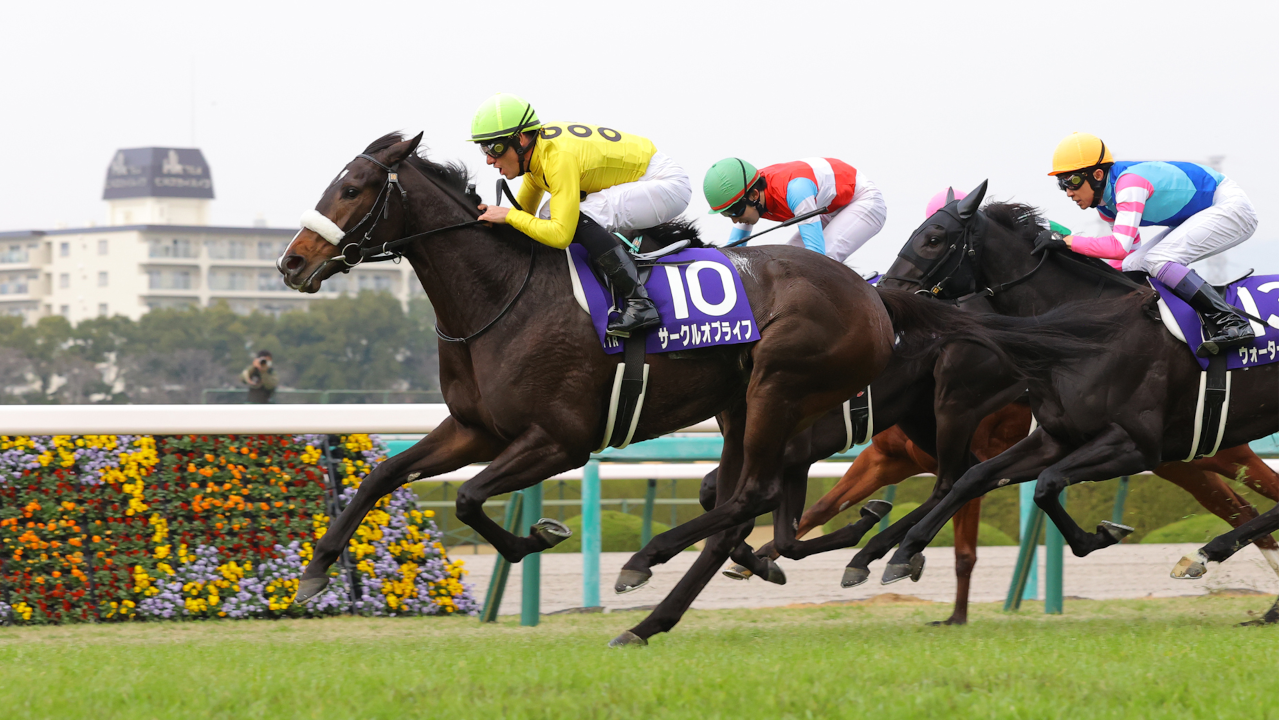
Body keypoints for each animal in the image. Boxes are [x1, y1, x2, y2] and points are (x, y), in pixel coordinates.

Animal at [276, 132, 896, 644]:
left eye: (352, 189)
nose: (291, 262)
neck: (506, 295)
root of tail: (871, 301)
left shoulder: (561, 439)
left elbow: (468, 496)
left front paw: (539, 536)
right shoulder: (476, 428)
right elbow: (384, 475)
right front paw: (314, 571)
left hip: (777, 390)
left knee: (753, 496)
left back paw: (647, 561)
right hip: (740, 409)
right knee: (736, 508)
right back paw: (657, 616)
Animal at [877, 182, 1279, 584]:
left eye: (933, 238)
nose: (886, 296)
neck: (1087, 330)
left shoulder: (1135, 444)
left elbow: (1047, 483)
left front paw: (1101, 535)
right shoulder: (1056, 438)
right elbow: (974, 477)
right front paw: (905, 551)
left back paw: (1204, 552)